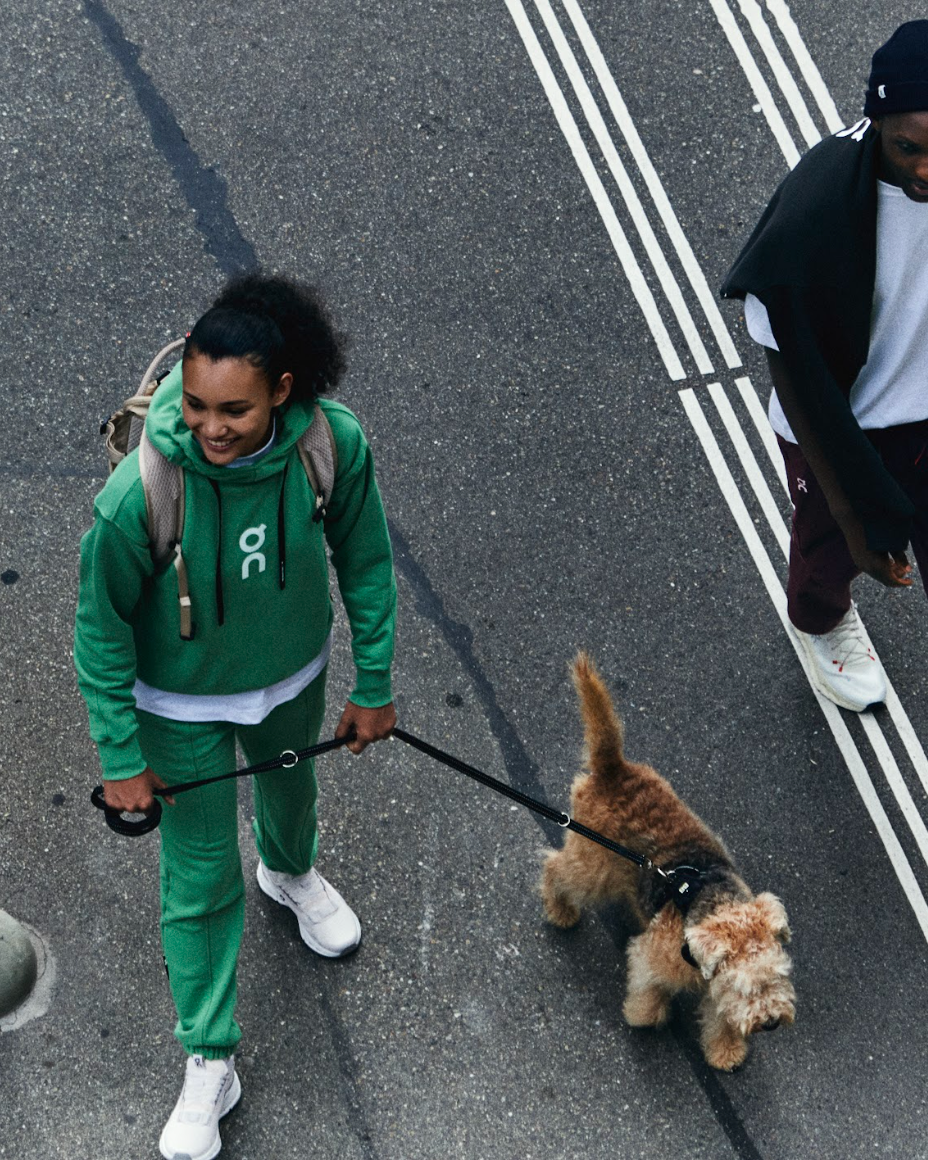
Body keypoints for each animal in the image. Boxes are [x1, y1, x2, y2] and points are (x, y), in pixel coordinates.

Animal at [540, 653, 795, 1071]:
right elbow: (647, 988)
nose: (771, 1022)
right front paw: (644, 1016)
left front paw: (725, 1051)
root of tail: (614, 767)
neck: (713, 901)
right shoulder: (652, 959)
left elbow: (718, 1017)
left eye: (777, 976)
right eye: (744, 985)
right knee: (553, 867)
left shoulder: (714, 989)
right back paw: (560, 910)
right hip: (592, 866)